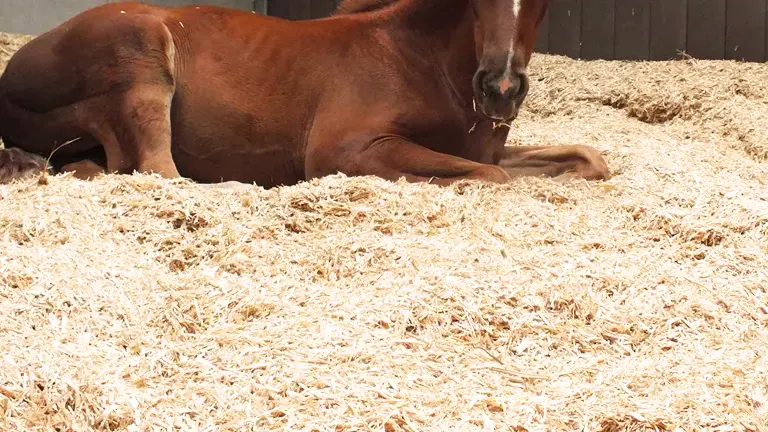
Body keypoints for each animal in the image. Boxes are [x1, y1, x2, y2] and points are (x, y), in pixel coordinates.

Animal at [0, 0, 612, 188]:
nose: (500, 88)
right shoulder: (344, 148)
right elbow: (491, 176)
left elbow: (590, 159)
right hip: (143, 57)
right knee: (159, 170)